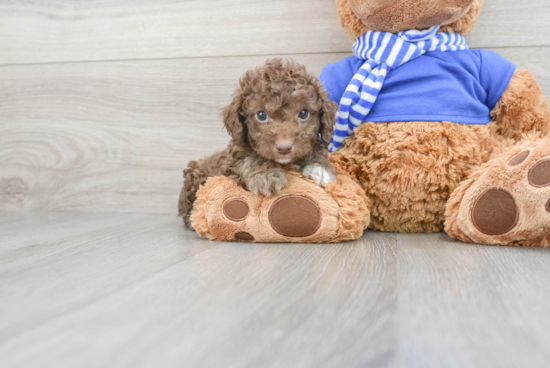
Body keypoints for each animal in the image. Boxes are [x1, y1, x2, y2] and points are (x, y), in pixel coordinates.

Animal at [179, 57, 338, 229]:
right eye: (261, 115)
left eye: (303, 113)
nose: (284, 148)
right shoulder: (230, 164)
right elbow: (249, 158)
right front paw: (266, 175)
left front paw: (320, 168)